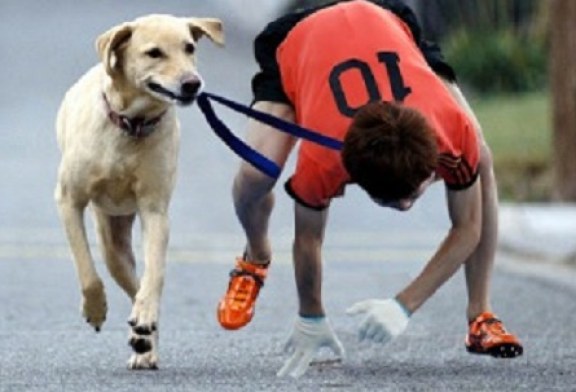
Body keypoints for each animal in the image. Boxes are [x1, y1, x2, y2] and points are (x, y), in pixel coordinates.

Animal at [54, 15, 225, 370]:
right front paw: (95, 309)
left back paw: (145, 339)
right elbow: (86, 270)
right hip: (112, 245)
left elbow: (155, 273)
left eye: (189, 47)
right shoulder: (68, 201)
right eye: (154, 53)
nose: (192, 83)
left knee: (140, 288)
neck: (130, 126)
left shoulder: (154, 210)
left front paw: (145, 319)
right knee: (121, 276)